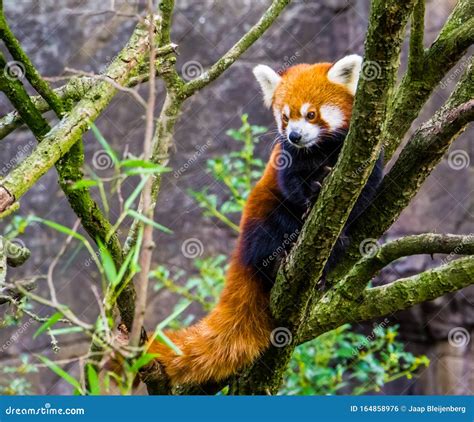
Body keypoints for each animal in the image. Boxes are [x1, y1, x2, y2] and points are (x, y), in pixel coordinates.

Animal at [150, 54, 384, 388]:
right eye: (285, 117)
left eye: (311, 114)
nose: (294, 135)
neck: (319, 151)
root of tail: (242, 250)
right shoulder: (287, 162)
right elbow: (292, 185)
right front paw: (311, 197)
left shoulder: (366, 157)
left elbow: (366, 191)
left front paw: (344, 221)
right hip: (264, 214)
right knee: (274, 231)